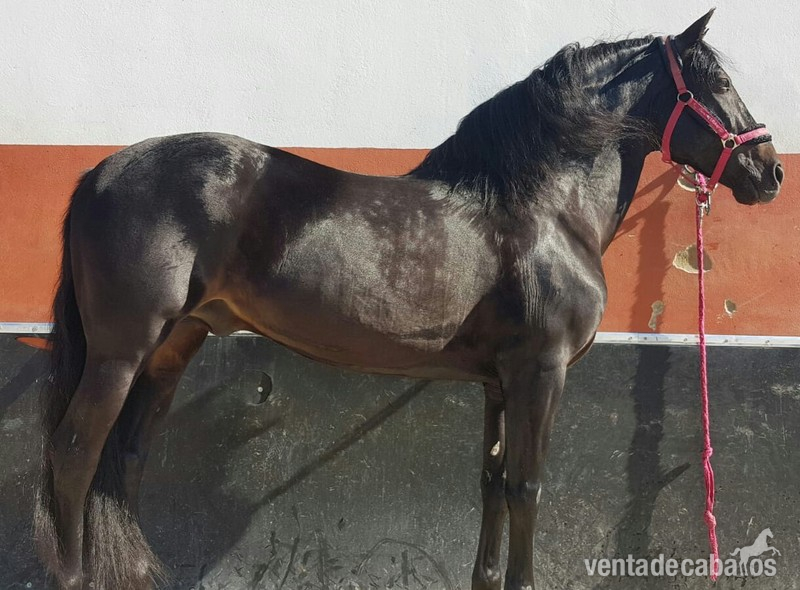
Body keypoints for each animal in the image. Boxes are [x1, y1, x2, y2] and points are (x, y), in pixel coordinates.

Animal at [34, 10, 783, 590]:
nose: (770, 171)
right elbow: (526, 486)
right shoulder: (541, 373)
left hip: (171, 351)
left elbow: (491, 482)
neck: (542, 207)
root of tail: (97, 171)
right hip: (119, 353)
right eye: (718, 82)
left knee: (125, 460)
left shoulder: (499, 382)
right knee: (73, 454)